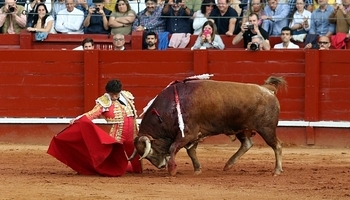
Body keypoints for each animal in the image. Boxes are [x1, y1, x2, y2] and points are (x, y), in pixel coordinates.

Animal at [130, 76, 286, 176]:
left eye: (151, 152)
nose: (162, 166)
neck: (168, 110)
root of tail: (267, 89)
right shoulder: (194, 135)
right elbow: (191, 151)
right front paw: (197, 169)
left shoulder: (188, 134)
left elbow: (173, 147)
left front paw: (172, 170)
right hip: (241, 128)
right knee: (247, 143)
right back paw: (228, 165)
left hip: (267, 129)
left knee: (277, 145)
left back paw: (277, 171)